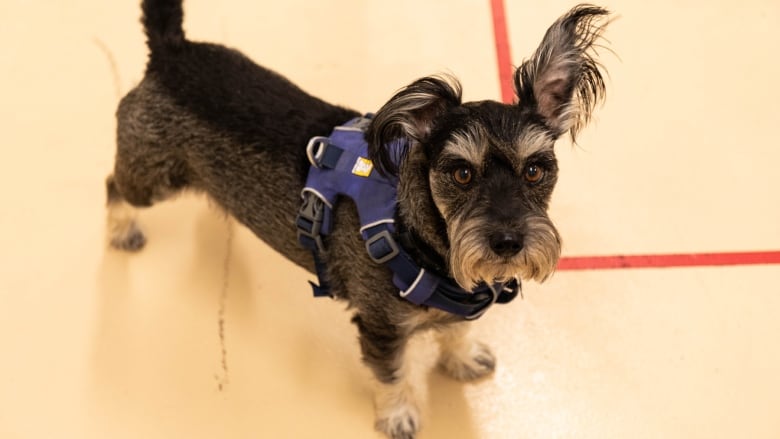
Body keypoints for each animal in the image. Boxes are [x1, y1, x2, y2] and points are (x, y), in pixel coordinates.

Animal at [106, 1, 612, 438]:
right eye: (461, 173)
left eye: (536, 169)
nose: (508, 242)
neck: (414, 232)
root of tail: (170, 50)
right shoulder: (381, 328)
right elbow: (392, 376)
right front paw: (399, 416)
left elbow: (456, 328)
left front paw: (463, 357)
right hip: (150, 177)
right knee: (113, 186)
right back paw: (121, 230)